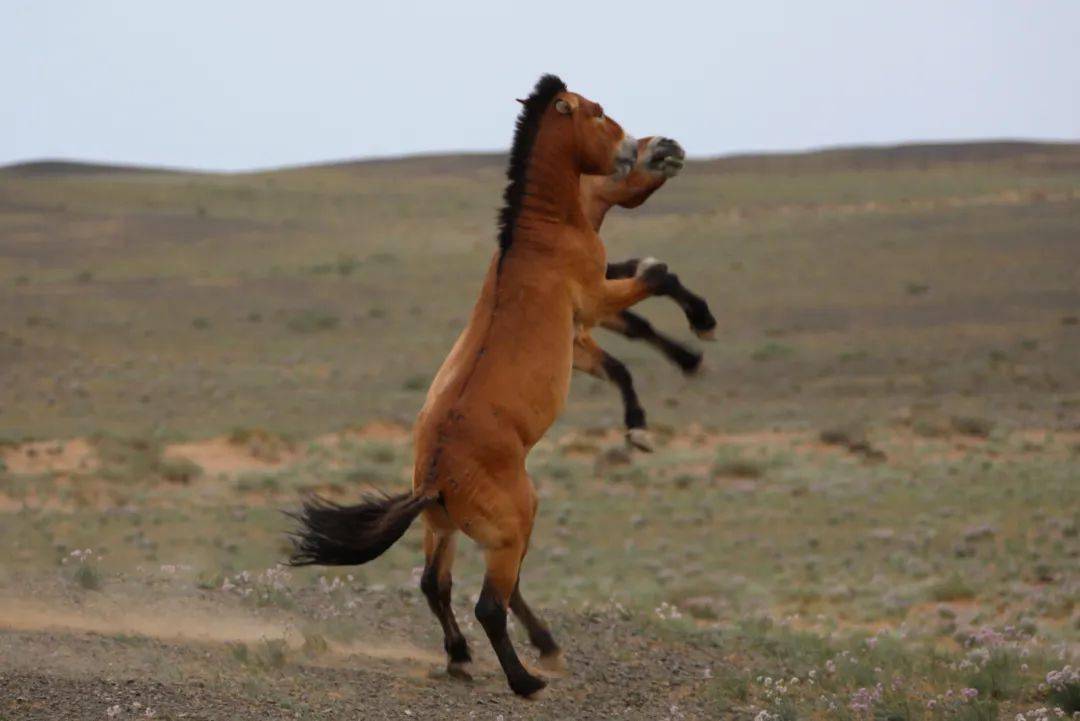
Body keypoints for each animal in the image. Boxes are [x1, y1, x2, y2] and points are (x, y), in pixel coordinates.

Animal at [287, 74, 673, 699]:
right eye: (596, 112)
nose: (647, 146)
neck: (539, 237)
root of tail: (434, 479)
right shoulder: (595, 301)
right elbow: (655, 278)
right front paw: (641, 426)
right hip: (514, 521)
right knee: (489, 602)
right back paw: (526, 677)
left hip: (444, 529)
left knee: (436, 585)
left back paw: (466, 658)